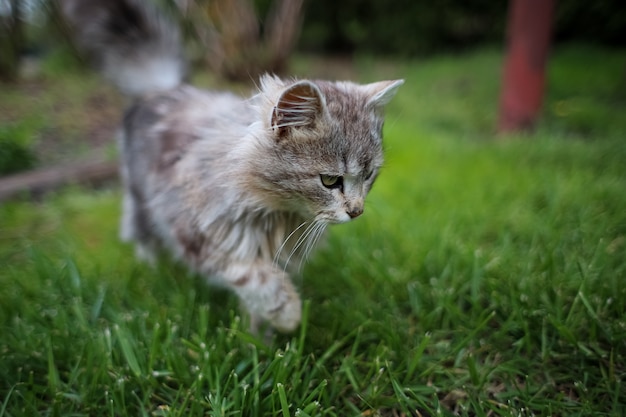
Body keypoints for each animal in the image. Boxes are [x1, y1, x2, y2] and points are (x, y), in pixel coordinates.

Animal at [61, 0, 402, 332]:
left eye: (369, 175)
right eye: (330, 181)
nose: (356, 211)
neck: (277, 214)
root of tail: (165, 88)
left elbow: (256, 299)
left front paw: (260, 338)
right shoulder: (195, 234)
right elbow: (253, 276)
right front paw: (288, 314)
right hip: (142, 201)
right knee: (143, 238)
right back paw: (155, 273)